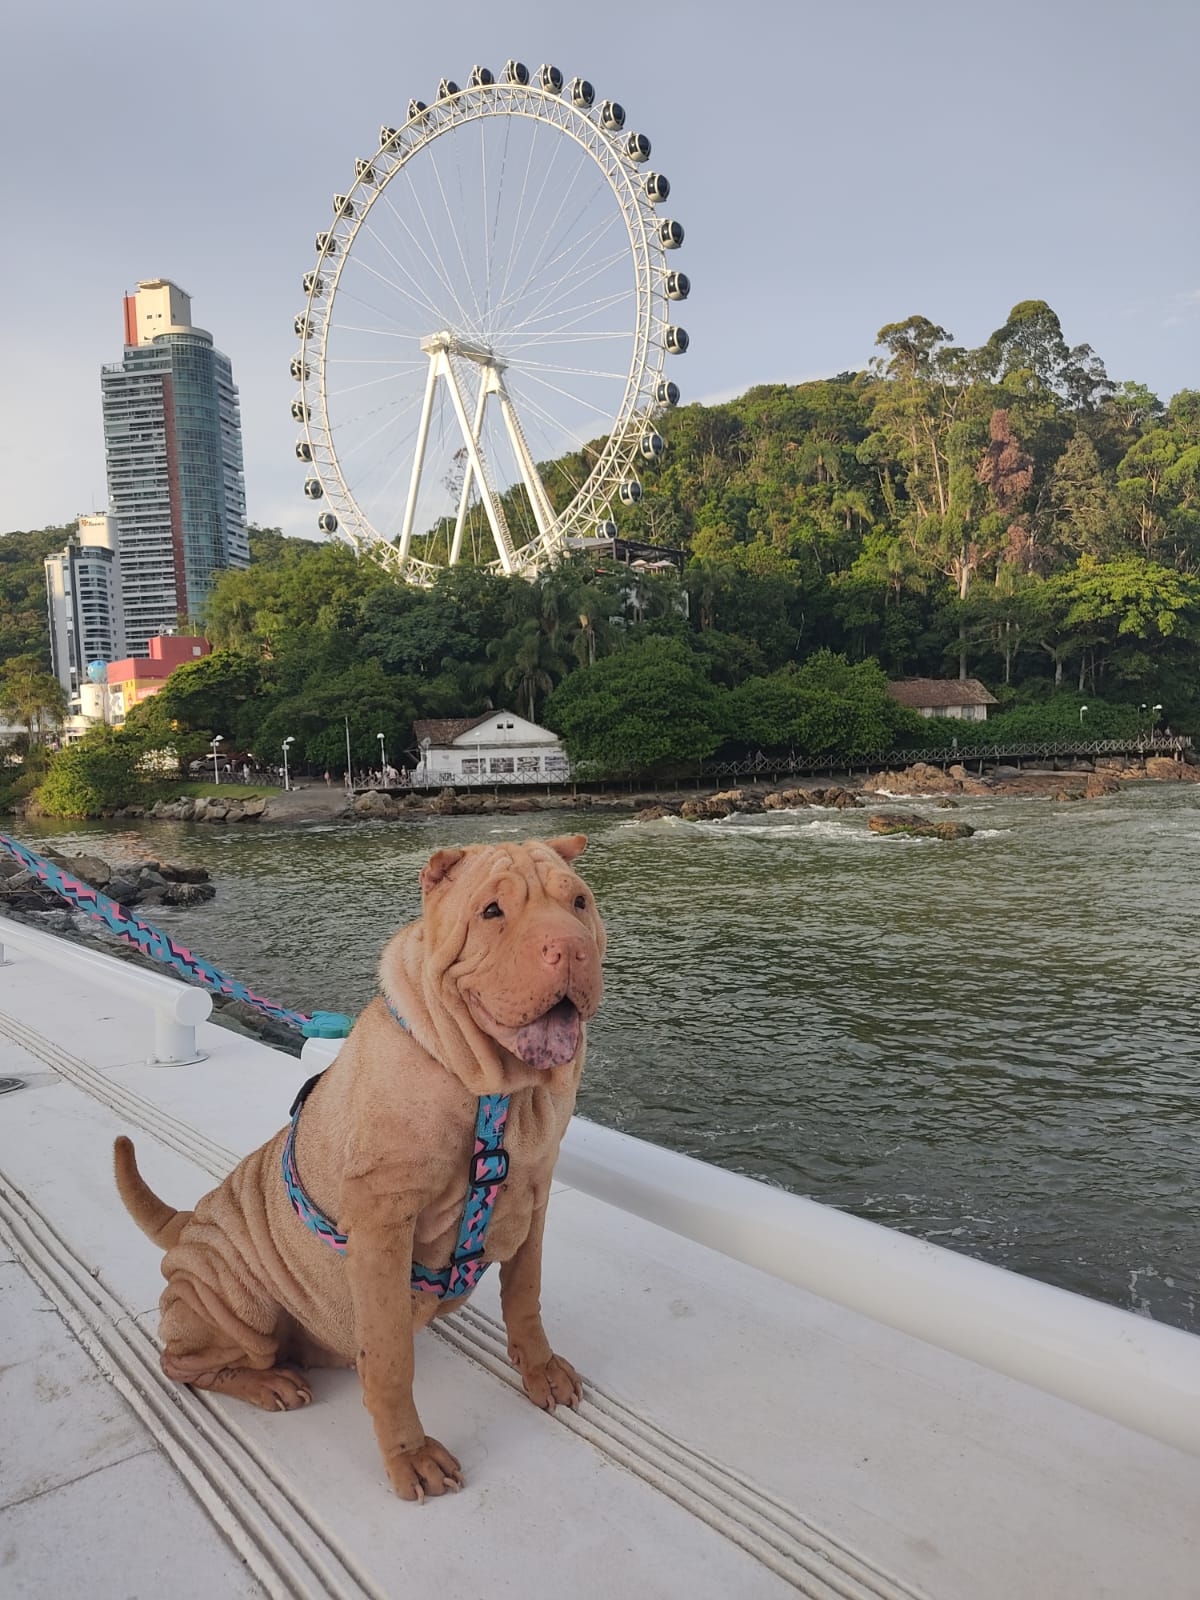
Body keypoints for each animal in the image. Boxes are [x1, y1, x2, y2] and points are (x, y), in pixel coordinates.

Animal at [114, 835, 605, 1502]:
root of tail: (188, 1224)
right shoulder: (380, 1226)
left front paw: (541, 1370)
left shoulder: (535, 1194)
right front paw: (410, 1455)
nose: (571, 949)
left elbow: (524, 1295)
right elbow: (392, 1359)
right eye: (492, 912)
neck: (497, 1093)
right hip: (235, 1299)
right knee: (183, 1362)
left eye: (579, 902)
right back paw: (268, 1382)